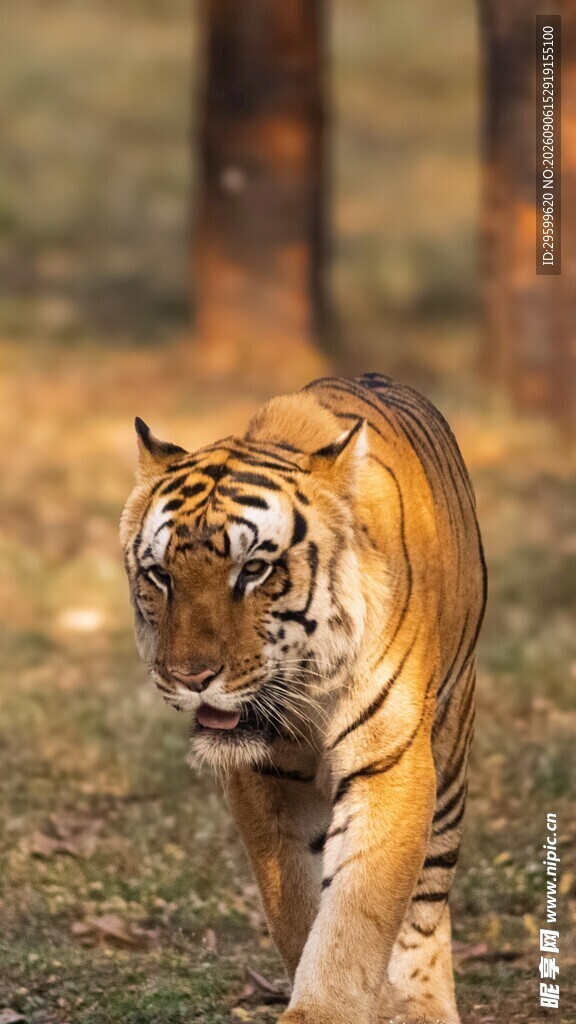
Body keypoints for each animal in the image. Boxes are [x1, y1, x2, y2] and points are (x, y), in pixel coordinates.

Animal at [120, 373, 486, 1024]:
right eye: (160, 575)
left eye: (254, 570)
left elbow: (357, 913)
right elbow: (294, 902)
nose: (190, 676)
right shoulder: (264, 781)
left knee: (427, 901)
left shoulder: (389, 764)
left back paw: (422, 1004)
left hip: (450, 748)